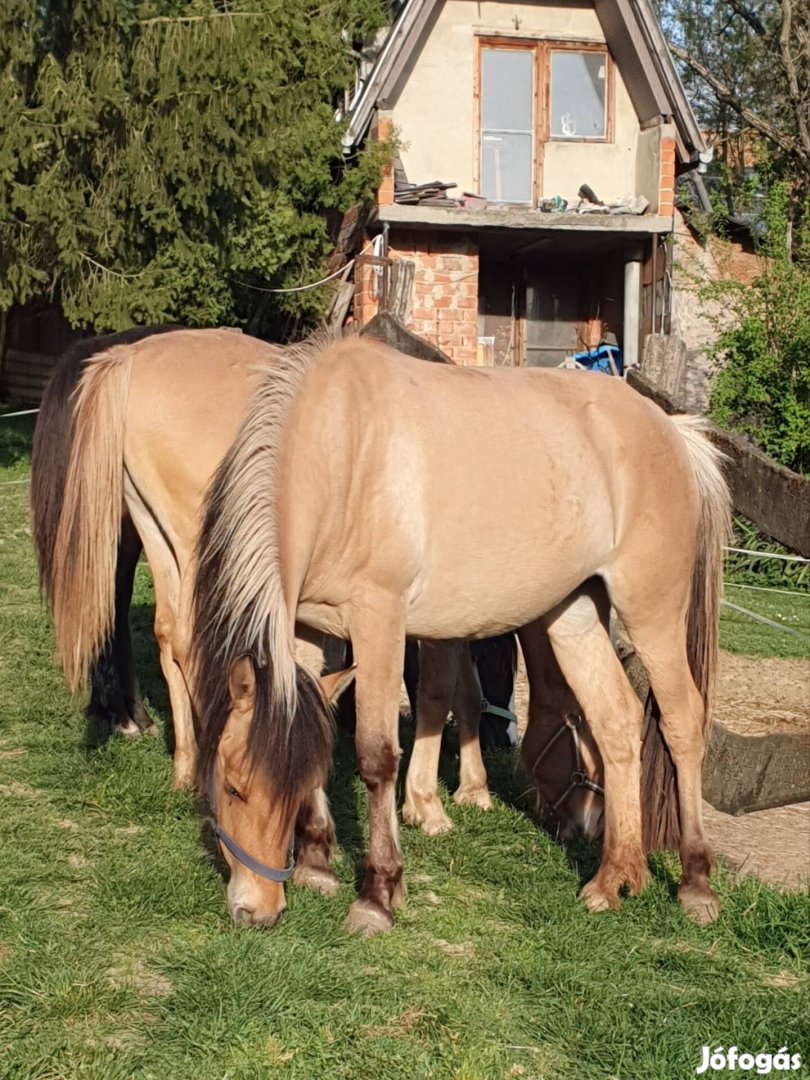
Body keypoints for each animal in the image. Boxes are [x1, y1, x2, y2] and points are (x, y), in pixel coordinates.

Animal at [193, 332, 734, 933]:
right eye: (232, 783)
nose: (255, 910)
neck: (341, 451)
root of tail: (674, 430)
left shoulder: (380, 619)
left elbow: (377, 755)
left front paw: (378, 894)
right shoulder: (309, 625)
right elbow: (319, 730)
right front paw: (317, 864)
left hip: (652, 613)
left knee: (682, 724)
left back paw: (695, 883)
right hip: (573, 614)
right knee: (615, 720)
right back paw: (613, 877)